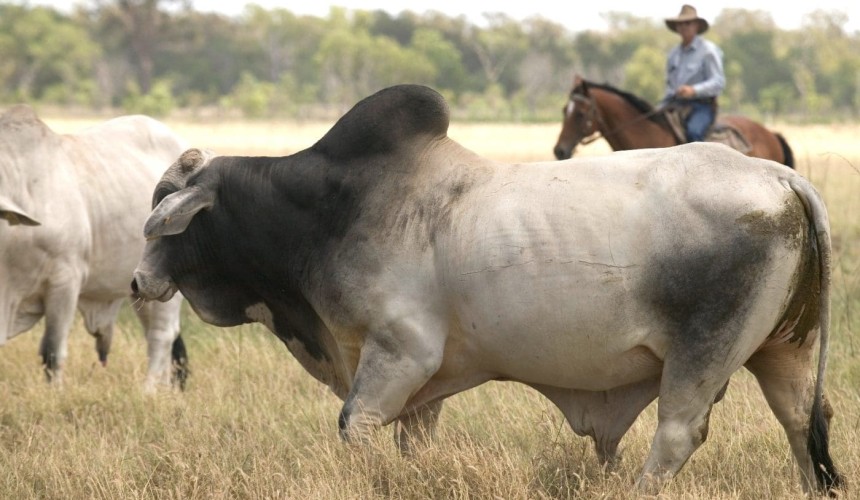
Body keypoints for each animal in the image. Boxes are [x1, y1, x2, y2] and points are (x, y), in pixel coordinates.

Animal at [131, 85, 842, 495]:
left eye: (168, 207)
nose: (138, 280)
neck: (330, 212)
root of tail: (780, 177)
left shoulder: (399, 353)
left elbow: (354, 427)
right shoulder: (420, 383)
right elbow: (408, 441)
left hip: (702, 353)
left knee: (676, 435)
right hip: (785, 348)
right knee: (801, 422)